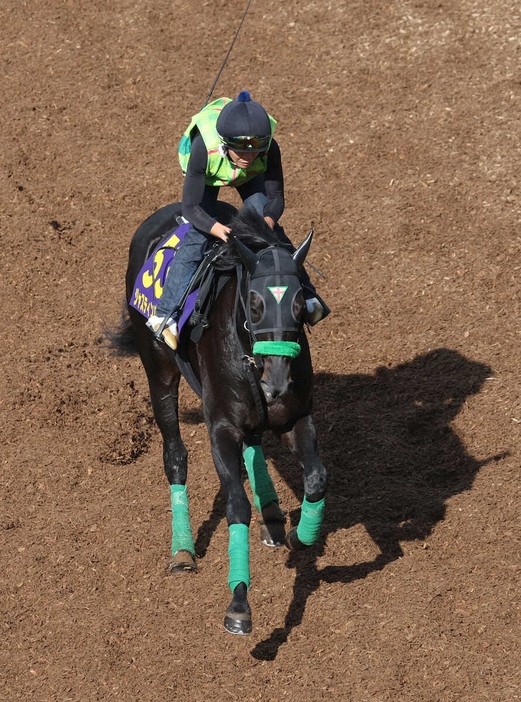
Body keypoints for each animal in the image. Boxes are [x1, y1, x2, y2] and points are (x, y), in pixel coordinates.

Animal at [110, 201, 328, 636]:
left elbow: (316, 479)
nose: (277, 382)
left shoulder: (296, 416)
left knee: (255, 440)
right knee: (175, 455)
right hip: (159, 373)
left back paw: (273, 514)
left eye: (300, 302)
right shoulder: (221, 429)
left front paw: (299, 536)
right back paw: (182, 550)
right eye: (255, 303)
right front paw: (239, 604)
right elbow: (236, 506)